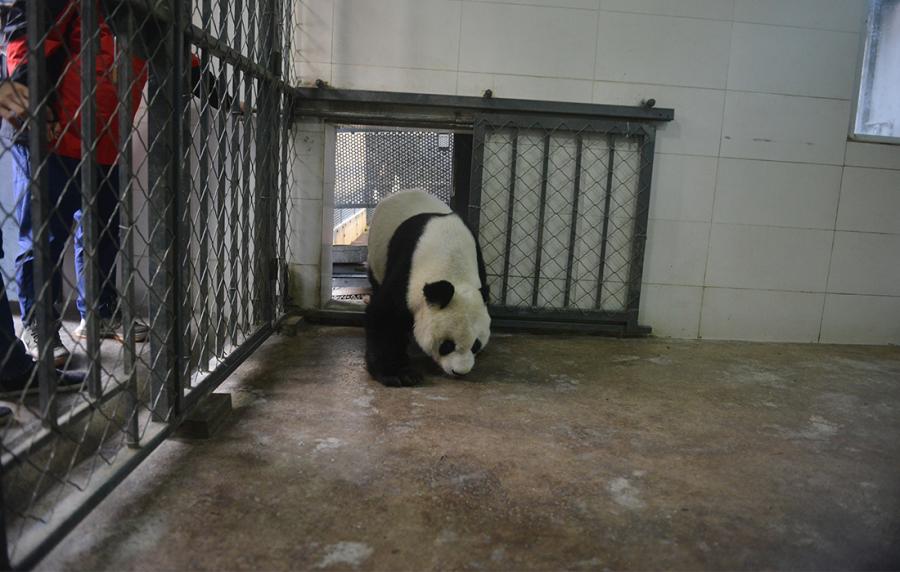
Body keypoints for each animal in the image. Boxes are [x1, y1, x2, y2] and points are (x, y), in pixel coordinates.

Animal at [365, 189, 491, 387]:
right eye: (447, 345)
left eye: (475, 344)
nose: (460, 372)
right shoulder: (407, 270)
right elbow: (385, 316)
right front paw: (400, 374)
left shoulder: (478, 263)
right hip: (377, 256)